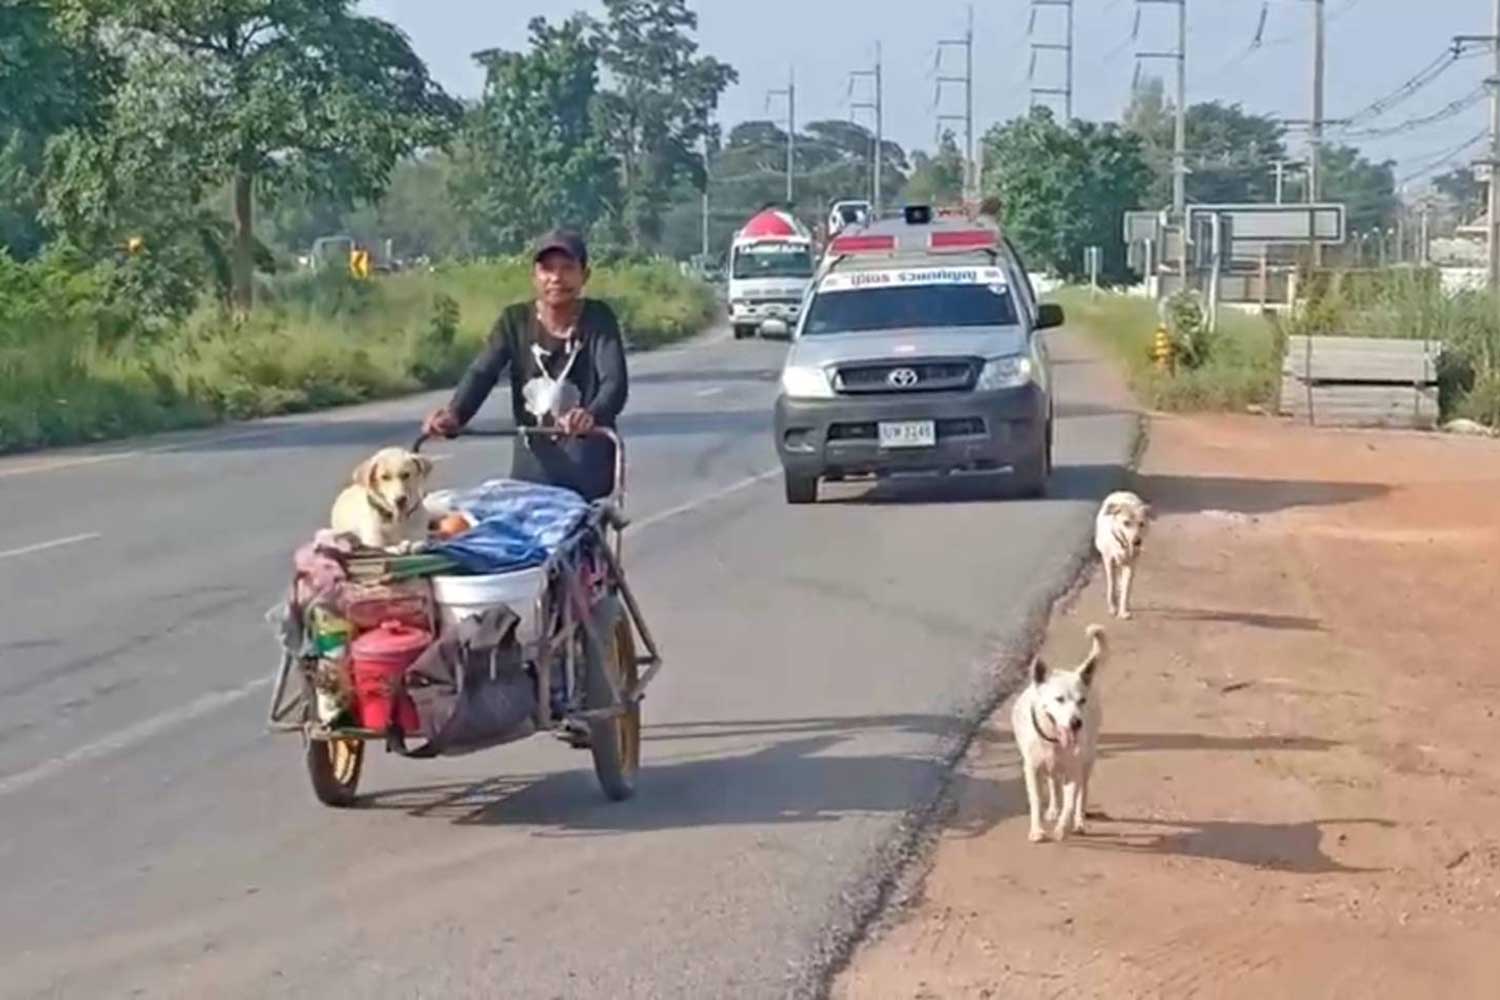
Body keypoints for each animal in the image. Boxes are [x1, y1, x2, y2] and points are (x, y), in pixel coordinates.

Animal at [1014, 629, 1110, 839]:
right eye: (1059, 699)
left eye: (1082, 700)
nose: (1076, 723)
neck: (1053, 741)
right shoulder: (1032, 769)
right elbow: (1035, 800)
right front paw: (1037, 830)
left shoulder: (1073, 771)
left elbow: (1070, 802)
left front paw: (1061, 829)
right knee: (1052, 782)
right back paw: (1052, 810)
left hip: (1087, 761)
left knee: (1082, 793)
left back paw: (1079, 821)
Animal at [1098, 491, 1152, 620]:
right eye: (1126, 523)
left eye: (1141, 524)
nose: (1137, 542)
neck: (1122, 545)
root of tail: (1122, 492)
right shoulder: (1108, 561)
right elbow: (1111, 584)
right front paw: (1112, 607)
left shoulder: (1131, 564)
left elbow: (1126, 589)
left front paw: (1123, 610)